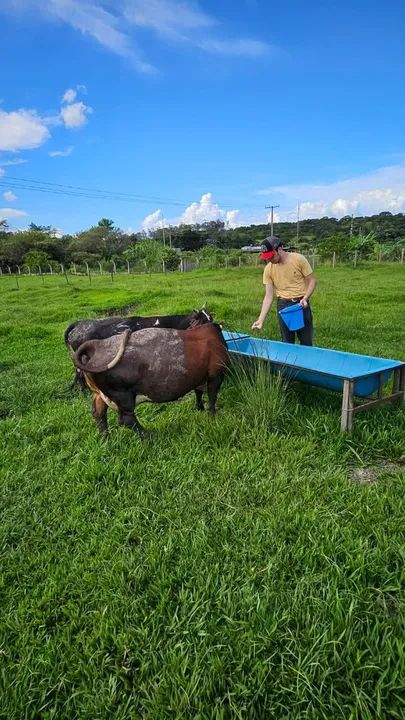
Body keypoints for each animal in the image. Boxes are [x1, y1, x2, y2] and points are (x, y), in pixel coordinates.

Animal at [71, 324, 228, 437]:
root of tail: (96, 346)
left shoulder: (200, 377)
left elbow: (198, 393)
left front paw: (200, 408)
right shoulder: (216, 374)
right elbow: (212, 397)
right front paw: (213, 416)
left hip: (99, 394)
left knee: (98, 413)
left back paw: (105, 438)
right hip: (123, 395)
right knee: (126, 420)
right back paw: (149, 436)